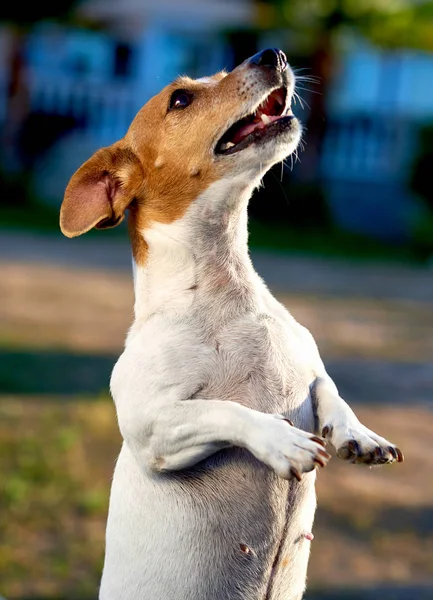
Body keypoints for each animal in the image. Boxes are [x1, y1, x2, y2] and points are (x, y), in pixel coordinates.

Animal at [59, 48, 404, 600]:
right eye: (180, 99)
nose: (273, 54)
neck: (227, 290)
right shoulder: (151, 427)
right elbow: (223, 410)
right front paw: (281, 440)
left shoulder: (309, 366)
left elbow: (329, 390)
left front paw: (358, 433)